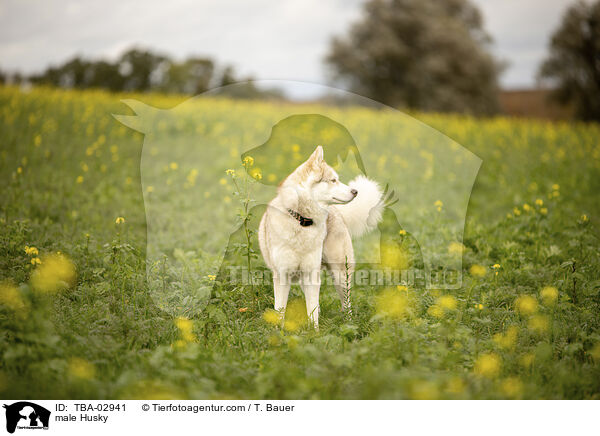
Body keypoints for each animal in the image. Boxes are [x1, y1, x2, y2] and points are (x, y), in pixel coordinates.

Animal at [258, 146, 384, 328]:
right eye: (333, 180)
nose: (355, 191)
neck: (301, 221)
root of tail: (337, 212)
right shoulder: (282, 276)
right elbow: (280, 311)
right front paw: (277, 332)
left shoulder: (312, 276)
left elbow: (312, 312)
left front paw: (314, 332)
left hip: (340, 275)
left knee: (346, 304)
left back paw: (349, 323)